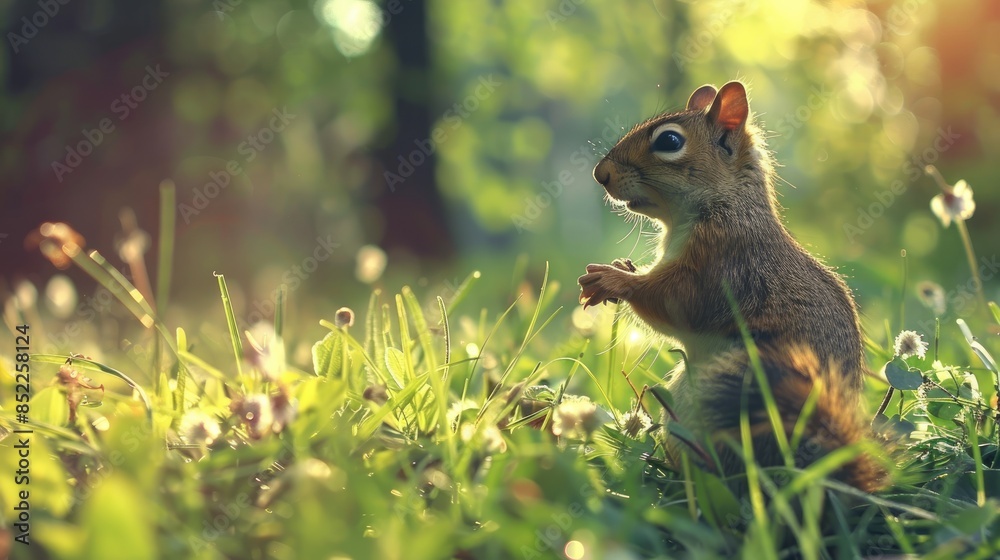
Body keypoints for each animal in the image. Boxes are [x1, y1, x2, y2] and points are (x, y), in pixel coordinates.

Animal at [580, 81, 884, 492]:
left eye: (670, 140)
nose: (601, 173)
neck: (726, 204)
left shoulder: (722, 264)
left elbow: (675, 302)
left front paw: (616, 279)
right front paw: (621, 267)